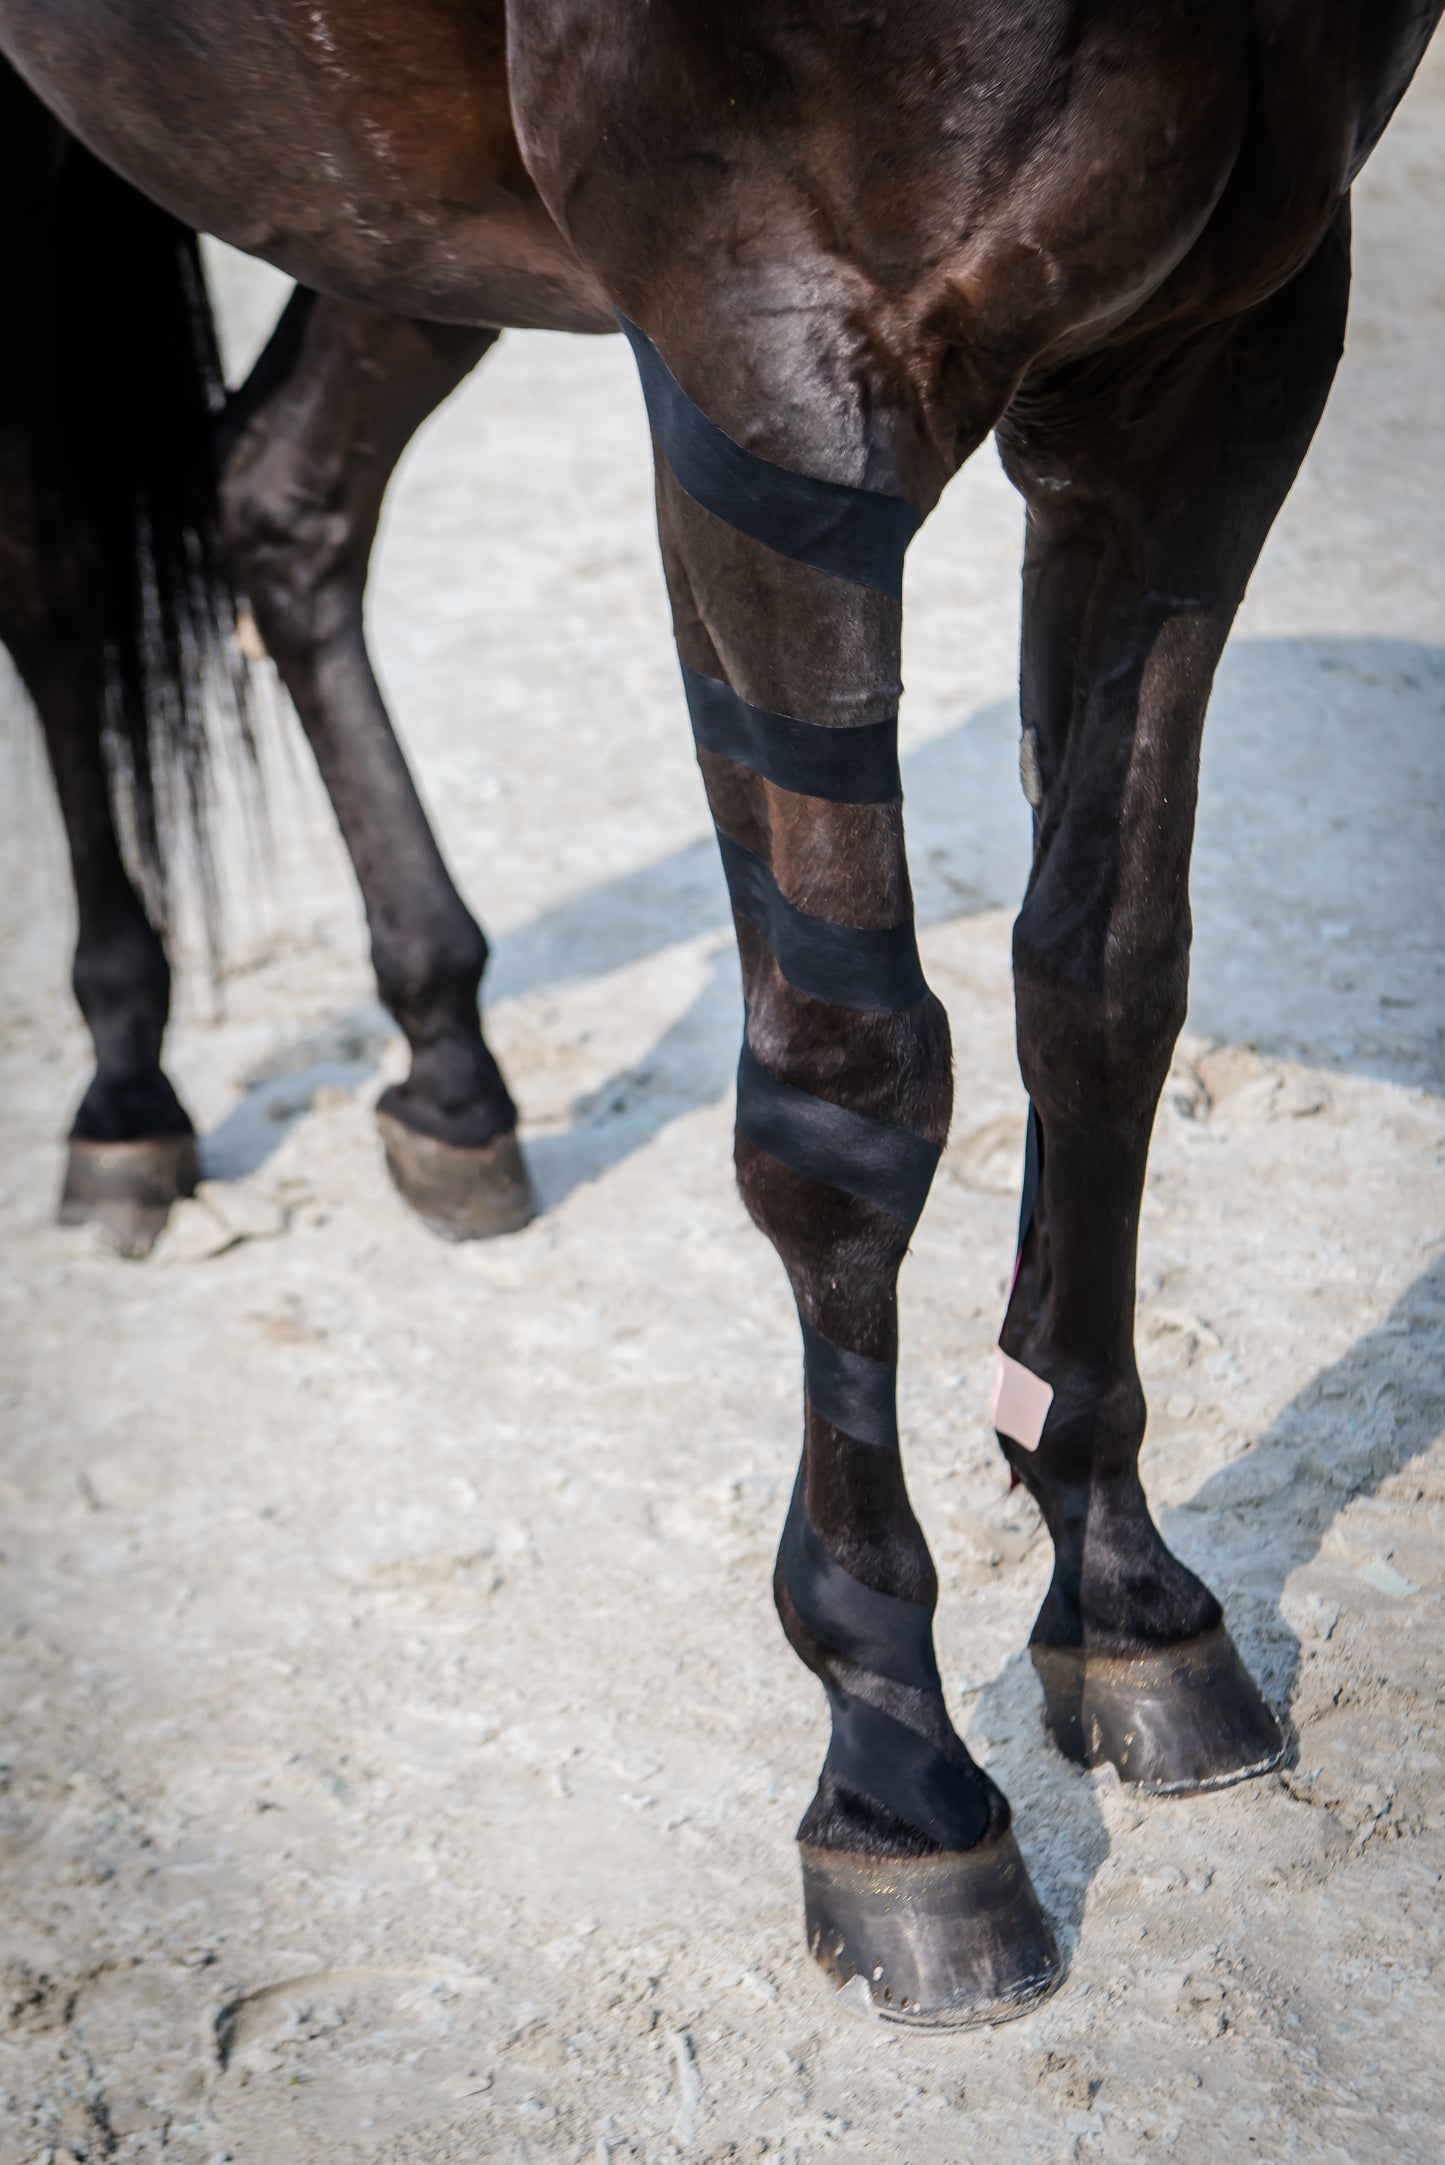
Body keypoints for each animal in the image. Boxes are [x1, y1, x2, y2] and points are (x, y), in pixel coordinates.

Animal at [0, 0, 1436, 2028]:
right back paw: (127, 1100)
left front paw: (1128, 1599)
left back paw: (448, 1076)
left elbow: (1101, 977)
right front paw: (901, 1785)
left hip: (390, 201)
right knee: (54, 558)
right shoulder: (773, 365)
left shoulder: (1224, 351)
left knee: (277, 495)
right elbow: (850, 1096)